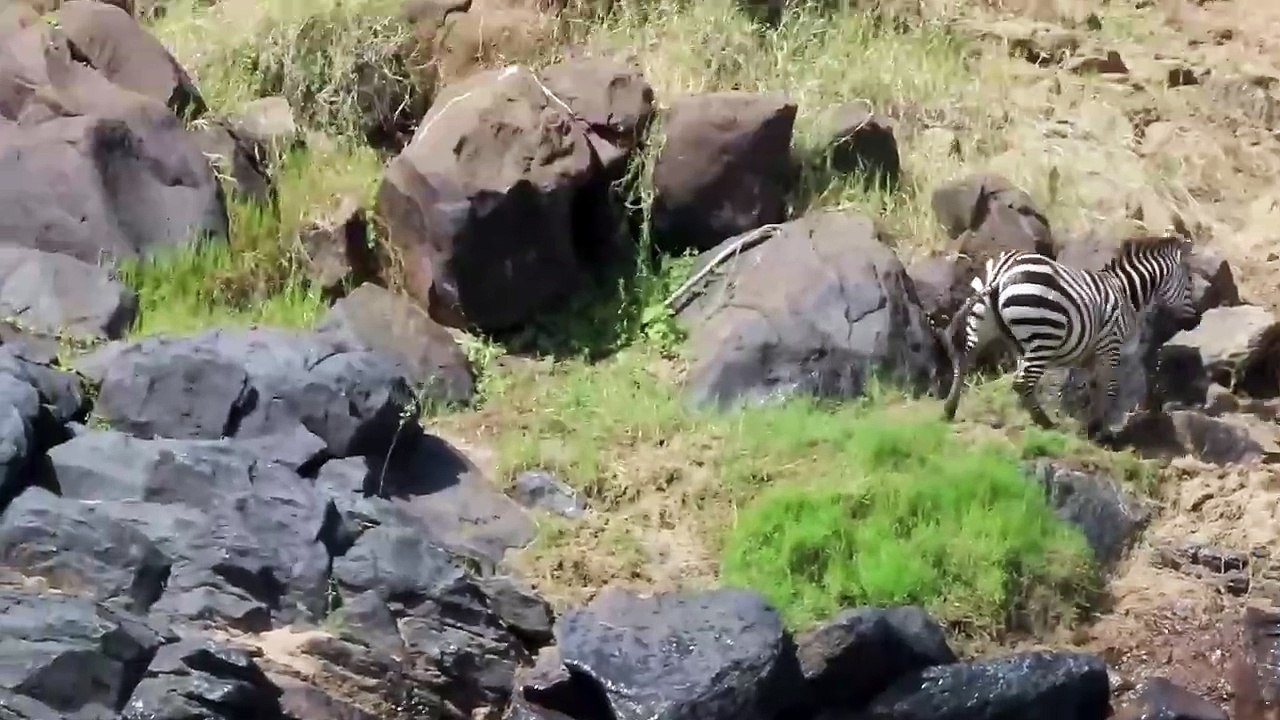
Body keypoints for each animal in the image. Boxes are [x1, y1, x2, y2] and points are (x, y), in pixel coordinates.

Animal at [938, 232, 1198, 439]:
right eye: (1190, 282)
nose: (1195, 321)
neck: (1125, 292)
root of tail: (1002, 274)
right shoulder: (1110, 344)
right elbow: (1110, 386)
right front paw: (1099, 429)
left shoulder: (1086, 353)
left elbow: (1093, 386)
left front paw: (1091, 425)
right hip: (1043, 334)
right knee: (1022, 382)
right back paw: (1045, 423)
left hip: (983, 322)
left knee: (964, 361)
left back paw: (949, 410)